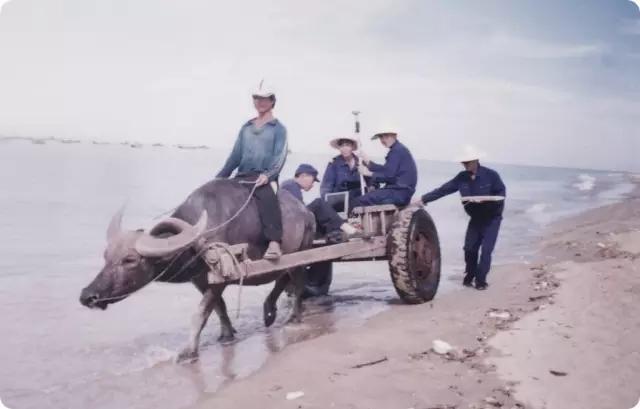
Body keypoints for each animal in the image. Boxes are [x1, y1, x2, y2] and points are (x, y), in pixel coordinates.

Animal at [79, 178, 316, 360]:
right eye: (106, 256)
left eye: (129, 260)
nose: (88, 296)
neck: (197, 245)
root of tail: (306, 212)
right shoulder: (201, 281)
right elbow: (219, 308)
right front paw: (227, 334)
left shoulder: (219, 280)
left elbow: (200, 313)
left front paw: (188, 351)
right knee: (283, 279)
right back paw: (269, 312)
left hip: (303, 253)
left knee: (298, 283)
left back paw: (292, 316)